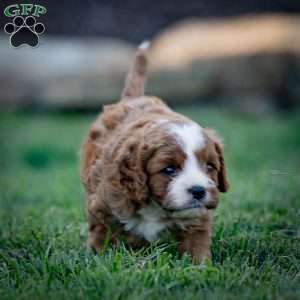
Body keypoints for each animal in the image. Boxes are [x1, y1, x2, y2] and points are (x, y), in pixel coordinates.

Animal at [80, 41, 230, 262]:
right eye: (169, 170)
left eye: (210, 167)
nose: (198, 191)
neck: (156, 207)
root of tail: (133, 99)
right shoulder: (102, 205)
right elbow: (101, 234)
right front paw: (98, 258)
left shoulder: (198, 217)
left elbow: (197, 242)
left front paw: (201, 266)